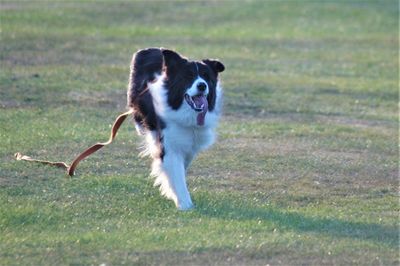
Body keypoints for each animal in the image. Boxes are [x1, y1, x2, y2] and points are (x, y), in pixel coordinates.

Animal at [126, 47, 223, 210]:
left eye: (206, 76)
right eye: (188, 76)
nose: (202, 85)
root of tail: (148, 49)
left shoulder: (191, 143)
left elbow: (181, 167)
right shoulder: (170, 145)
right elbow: (176, 173)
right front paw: (185, 204)